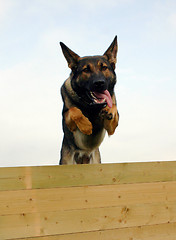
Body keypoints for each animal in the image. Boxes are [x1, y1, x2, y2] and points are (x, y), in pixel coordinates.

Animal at [59, 37, 119, 165]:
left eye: (104, 67)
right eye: (86, 70)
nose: (99, 83)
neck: (92, 106)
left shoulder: (111, 128)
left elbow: (113, 107)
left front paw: (109, 110)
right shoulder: (69, 122)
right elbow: (73, 110)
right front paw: (86, 126)